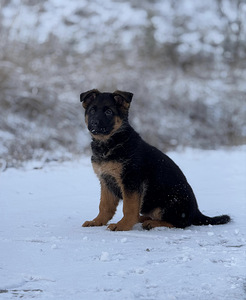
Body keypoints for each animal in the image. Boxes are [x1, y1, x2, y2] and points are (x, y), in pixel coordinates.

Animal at [80, 90, 230, 231]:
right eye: (92, 110)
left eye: (109, 112)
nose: (94, 123)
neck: (110, 143)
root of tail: (196, 212)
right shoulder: (106, 181)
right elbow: (104, 206)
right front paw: (97, 221)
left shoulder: (131, 181)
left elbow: (129, 207)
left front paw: (123, 225)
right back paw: (142, 218)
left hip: (169, 202)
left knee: (181, 223)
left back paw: (151, 223)